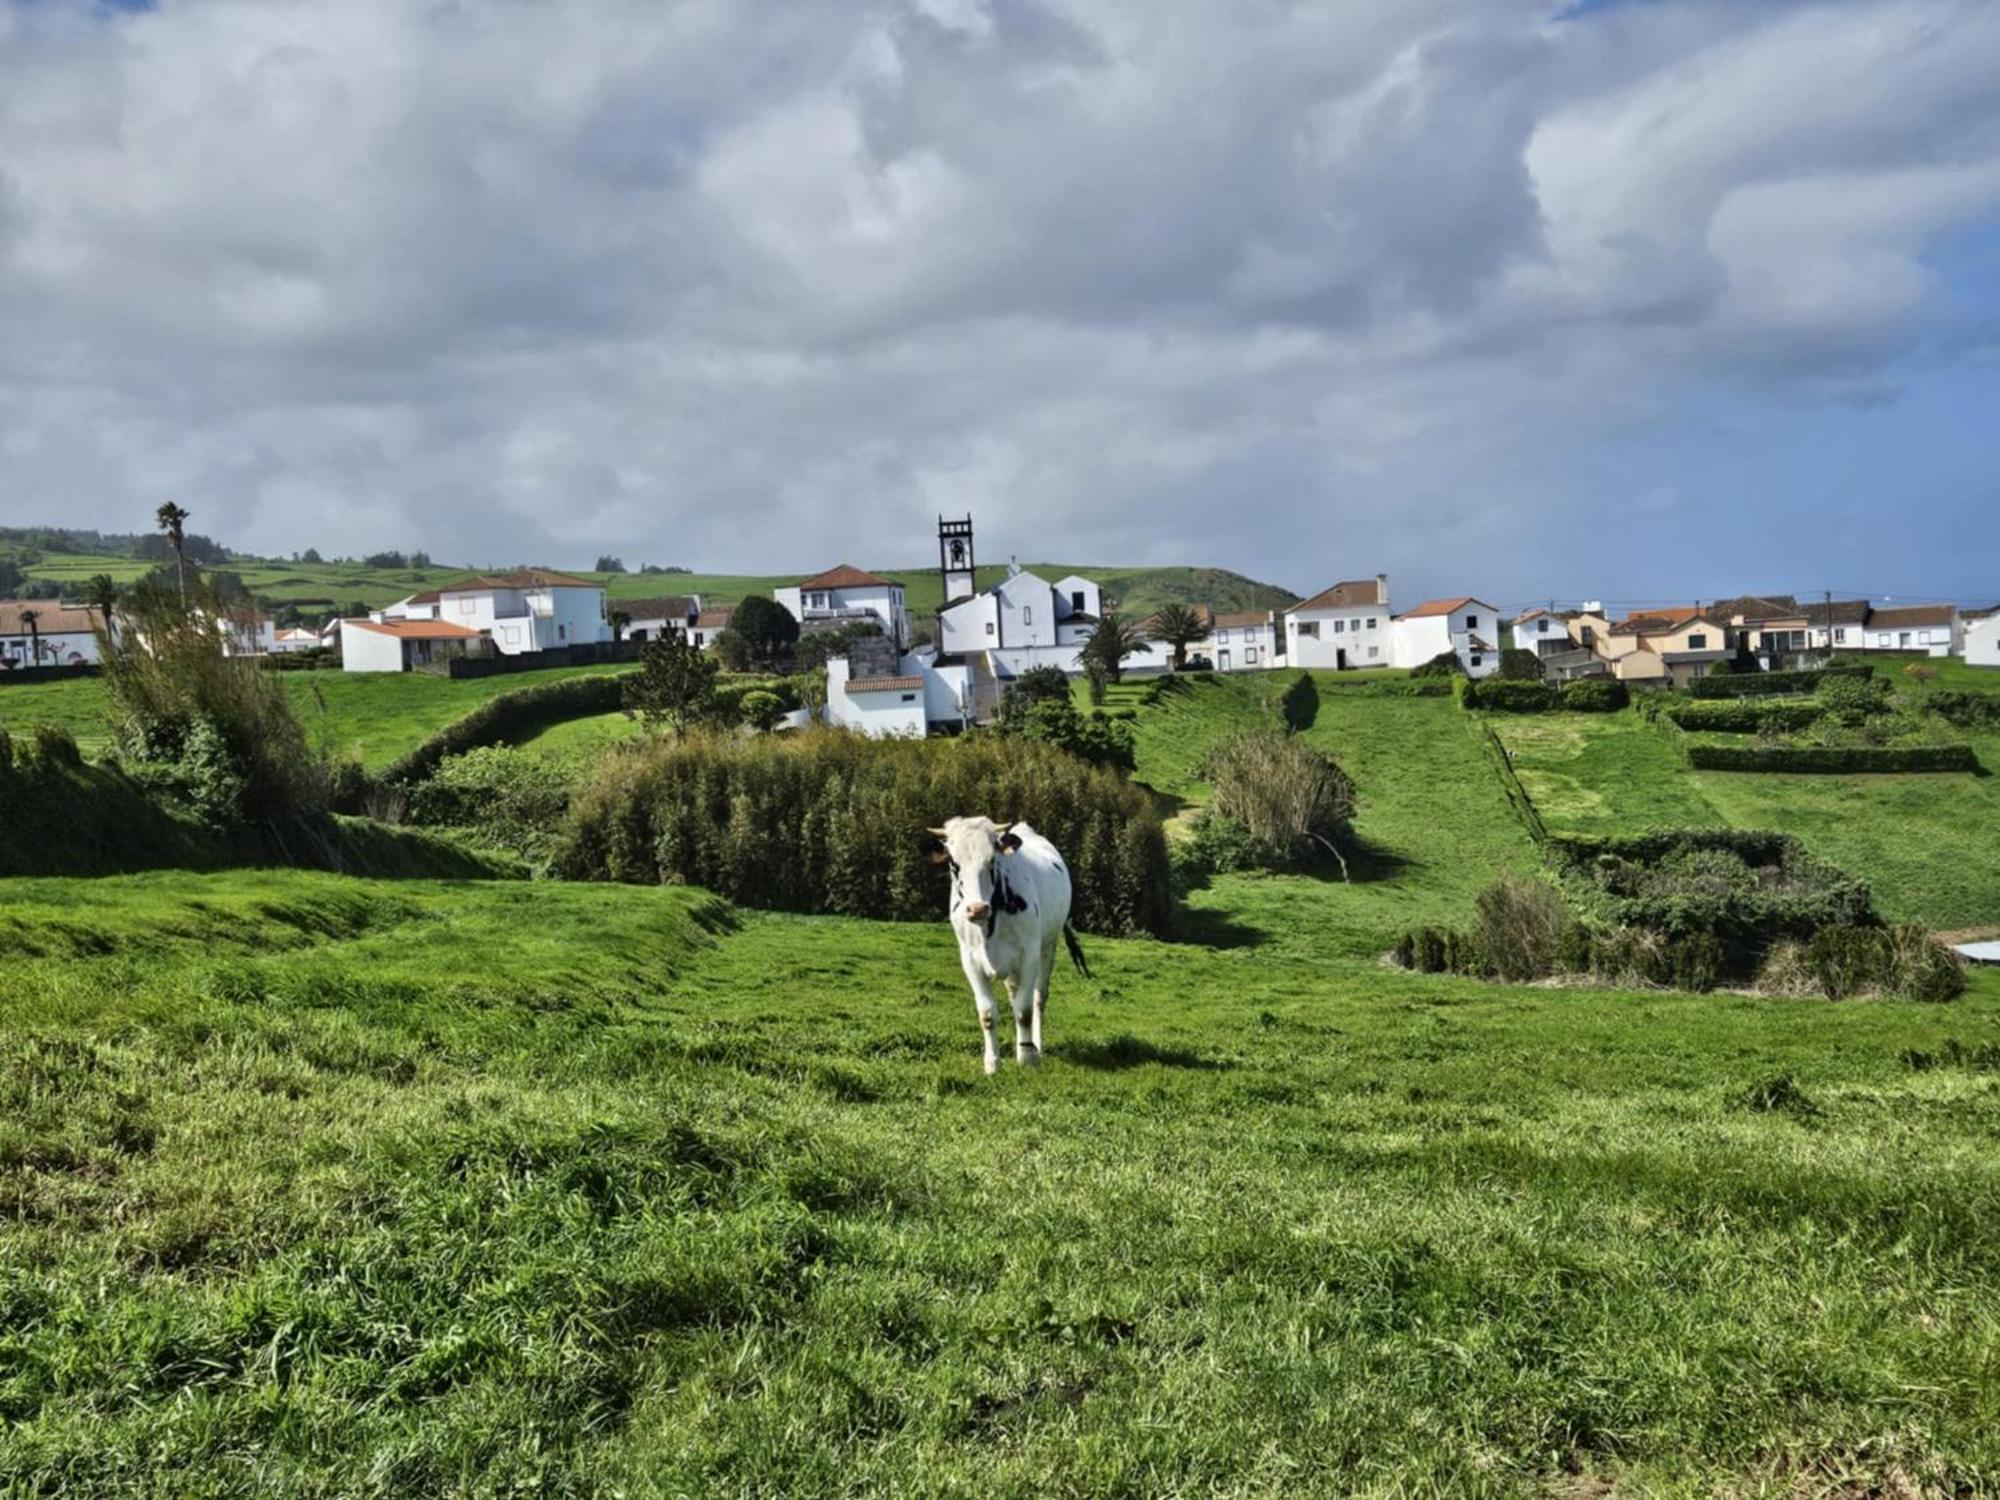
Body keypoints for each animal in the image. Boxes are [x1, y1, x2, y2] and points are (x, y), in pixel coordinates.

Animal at [924, 816, 1088, 1072]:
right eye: (953, 863)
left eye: (992, 860)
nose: (977, 909)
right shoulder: (970, 961)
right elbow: (987, 1014)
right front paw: (993, 1063)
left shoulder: (1029, 955)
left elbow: (1024, 1010)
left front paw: (1028, 1056)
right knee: (1014, 993)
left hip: (1048, 946)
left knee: (1038, 998)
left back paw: (1036, 1045)